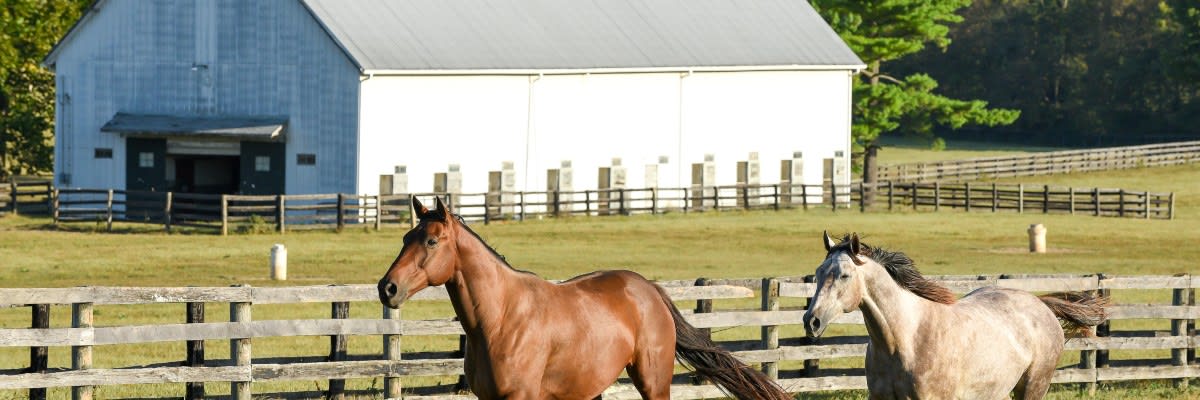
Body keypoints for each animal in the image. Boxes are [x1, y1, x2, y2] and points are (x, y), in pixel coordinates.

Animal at [377, 197, 791, 400]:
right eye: (405, 238)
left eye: (432, 241)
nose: (388, 288)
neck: (500, 319)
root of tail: (650, 291)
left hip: (653, 383)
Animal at [803, 232, 1107, 400]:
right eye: (818, 272)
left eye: (844, 275)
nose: (811, 321)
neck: (904, 340)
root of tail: (1040, 303)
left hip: (1034, 386)